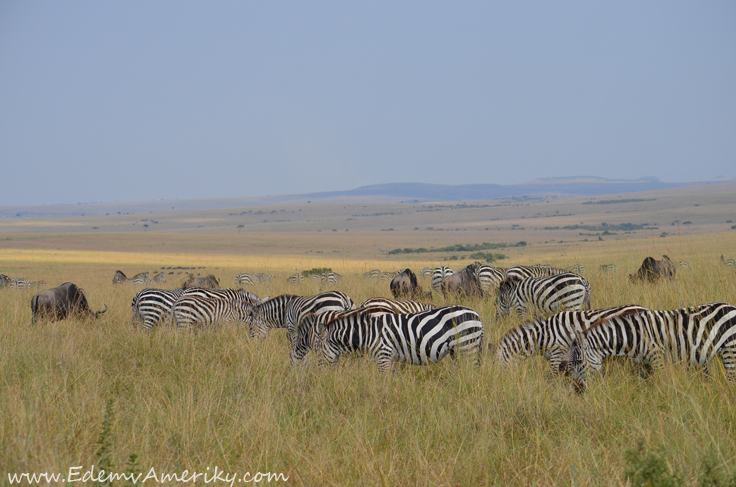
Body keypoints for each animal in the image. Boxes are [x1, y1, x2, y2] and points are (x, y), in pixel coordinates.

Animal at [314, 306, 484, 372]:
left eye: (319, 350)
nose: (320, 375)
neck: (367, 334)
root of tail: (477, 314)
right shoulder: (389, 358)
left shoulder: (383, 355)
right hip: (458, 351)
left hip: (466, 346)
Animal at [494, 304, 648, 378]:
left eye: (501, 368)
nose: (503, 383)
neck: (544, 336)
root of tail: (643, 308)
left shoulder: (557, 353)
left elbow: (554, 376)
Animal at [560, 304, 736, 390]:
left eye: (579, 362)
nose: (576, 390)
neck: (633, 336)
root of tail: (731, 306)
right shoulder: (640, 363)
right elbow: (643, 384)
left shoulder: (657, 357)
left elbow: (661, 383)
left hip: (730, 349)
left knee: (731, 379)